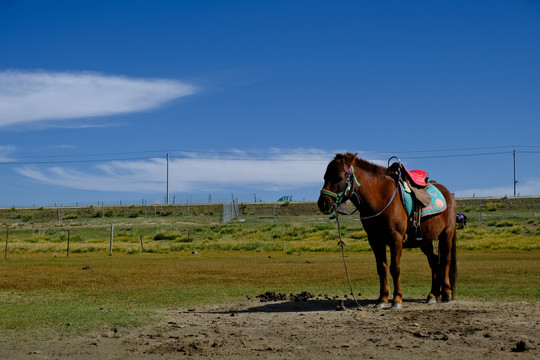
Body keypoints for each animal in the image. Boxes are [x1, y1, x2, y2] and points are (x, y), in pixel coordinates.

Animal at [318, 153, 458, 308]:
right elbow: (382, 268)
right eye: (325, 177)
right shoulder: (375, 240)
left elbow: (395, 268)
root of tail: (449, 194)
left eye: (339, 177)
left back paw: (446, 293)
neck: (381, 199)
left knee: (446, 260)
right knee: (434, 261)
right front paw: (382, 299)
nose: (323, 203)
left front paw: (397, 300)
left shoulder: (395, 239)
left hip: (447, 233)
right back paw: (432, 295)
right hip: (425, 240)